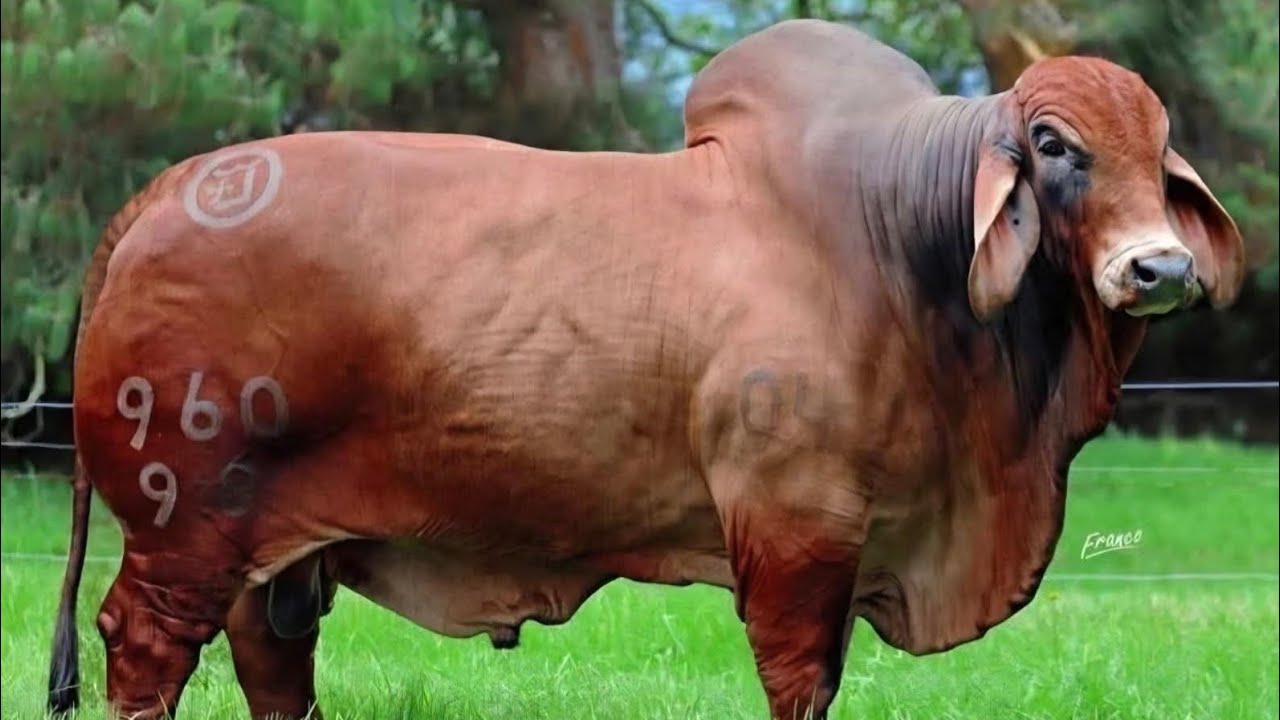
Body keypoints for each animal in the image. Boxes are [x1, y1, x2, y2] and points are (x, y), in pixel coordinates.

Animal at [47, 19, 1242, 720]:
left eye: (1157, 149)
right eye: (1051, 145)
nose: (1160, 267)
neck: (903, 244)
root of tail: (169, 189)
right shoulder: (795, 531)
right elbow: (798, 680)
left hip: (268, 552)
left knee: (269, 663)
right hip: (182, 528)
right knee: (144, 649)